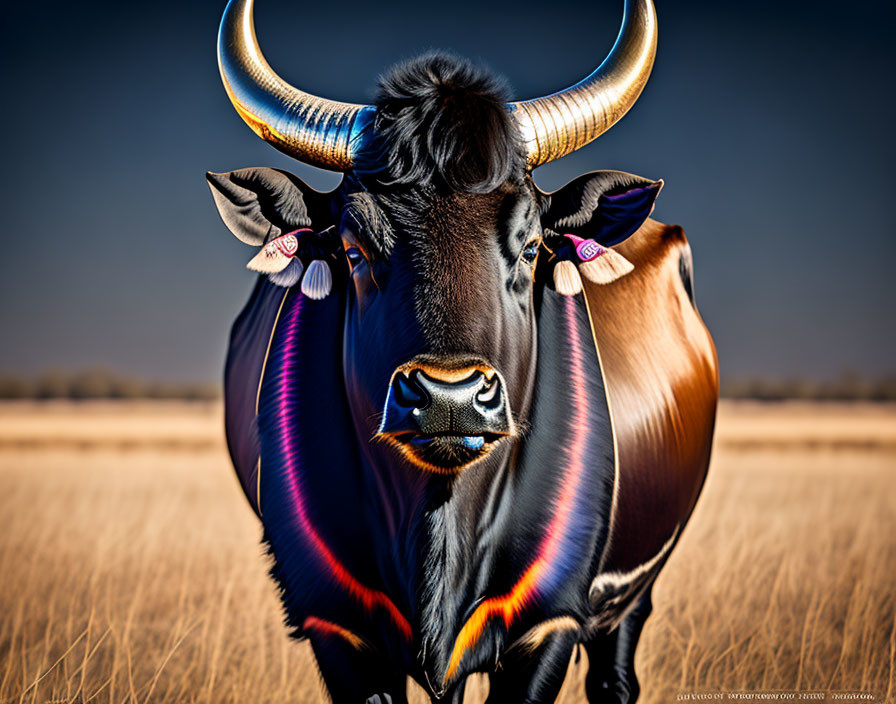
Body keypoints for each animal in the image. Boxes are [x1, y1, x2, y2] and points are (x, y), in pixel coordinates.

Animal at [206, 0, 716, 700]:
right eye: (354, 249)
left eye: (530, 247)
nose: (450, 399)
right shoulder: (334, 626)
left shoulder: (548, 626)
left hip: (632, 596)